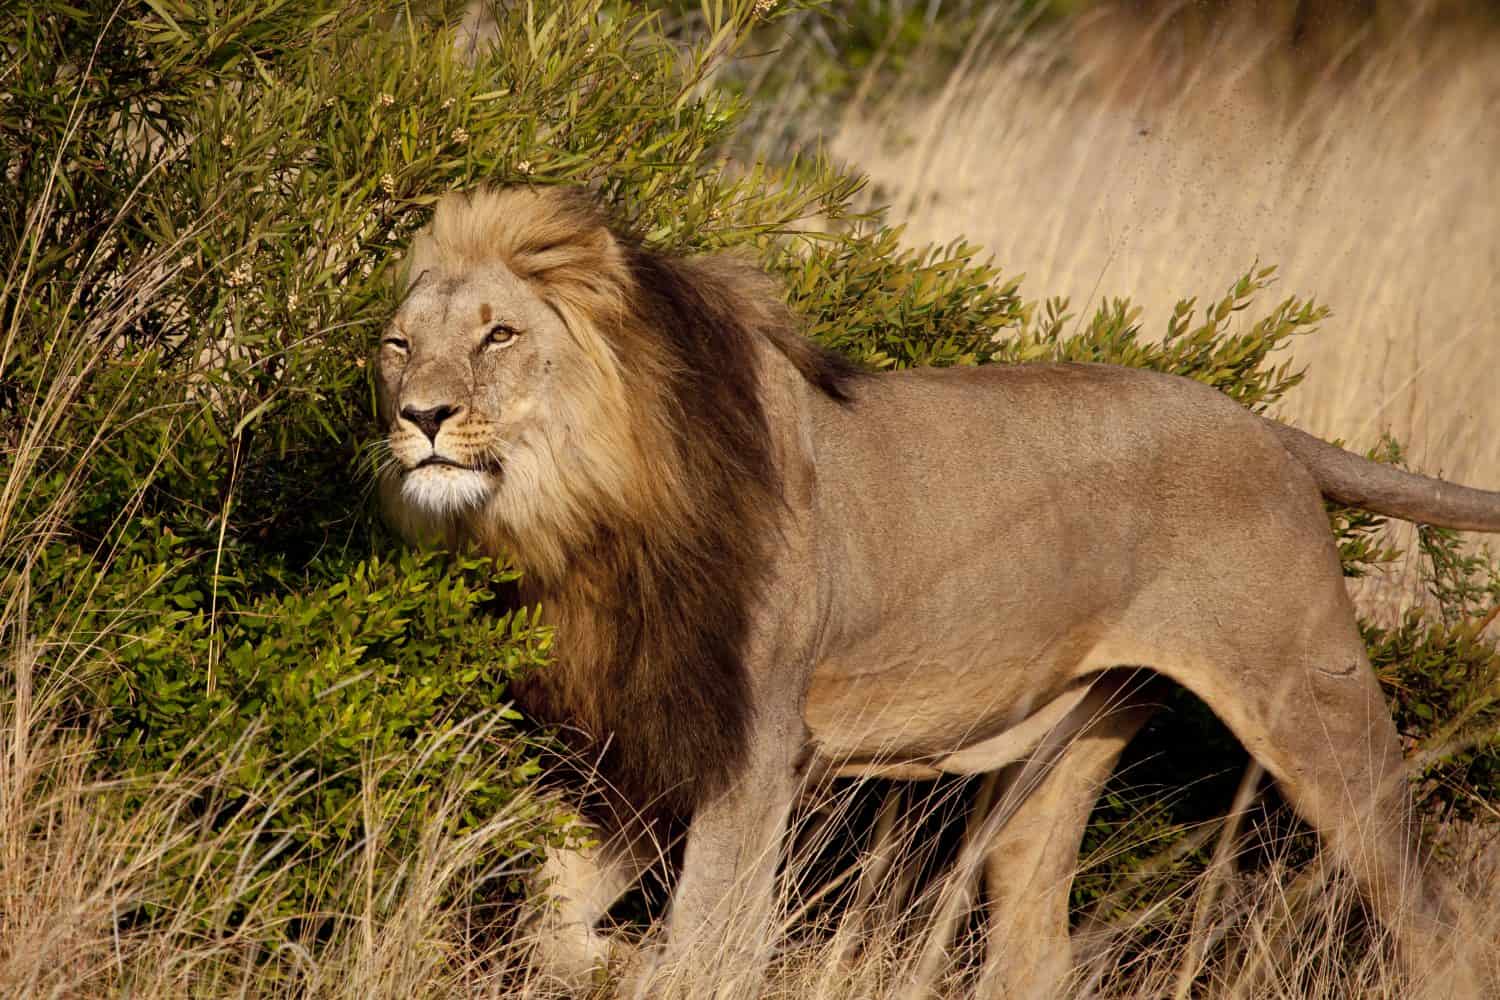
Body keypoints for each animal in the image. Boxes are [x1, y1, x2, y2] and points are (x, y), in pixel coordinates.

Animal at [376, 186, 1497, 998]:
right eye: (397, 343)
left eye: (499, 336)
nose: (418, 415)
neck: (584, 516)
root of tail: (1262, 424)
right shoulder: (650, 735)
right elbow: (554, 913)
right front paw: (610, 959)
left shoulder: (752, 740)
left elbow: (709, 940)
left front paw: (660, 965)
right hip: (1069, 744)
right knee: (1033, 953)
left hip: (1310, 700)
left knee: (1436, 922)